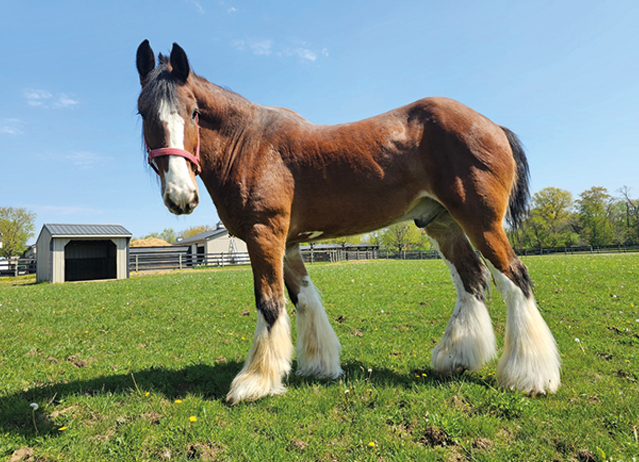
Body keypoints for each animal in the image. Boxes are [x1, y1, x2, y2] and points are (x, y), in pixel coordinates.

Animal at [134, 40, 560, 404]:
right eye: (142, 112)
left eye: (193, 112)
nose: (181, 197)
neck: (251, 144)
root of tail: (491, 125)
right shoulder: (288, 243)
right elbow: (304, 299)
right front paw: (318, 366)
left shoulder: (264, 235)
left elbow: (270, 302)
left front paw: (255, 382)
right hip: (443, 224)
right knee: (473, 279)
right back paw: (456, 358)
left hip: (481, 221)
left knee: (515, 278)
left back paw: (530, 375)